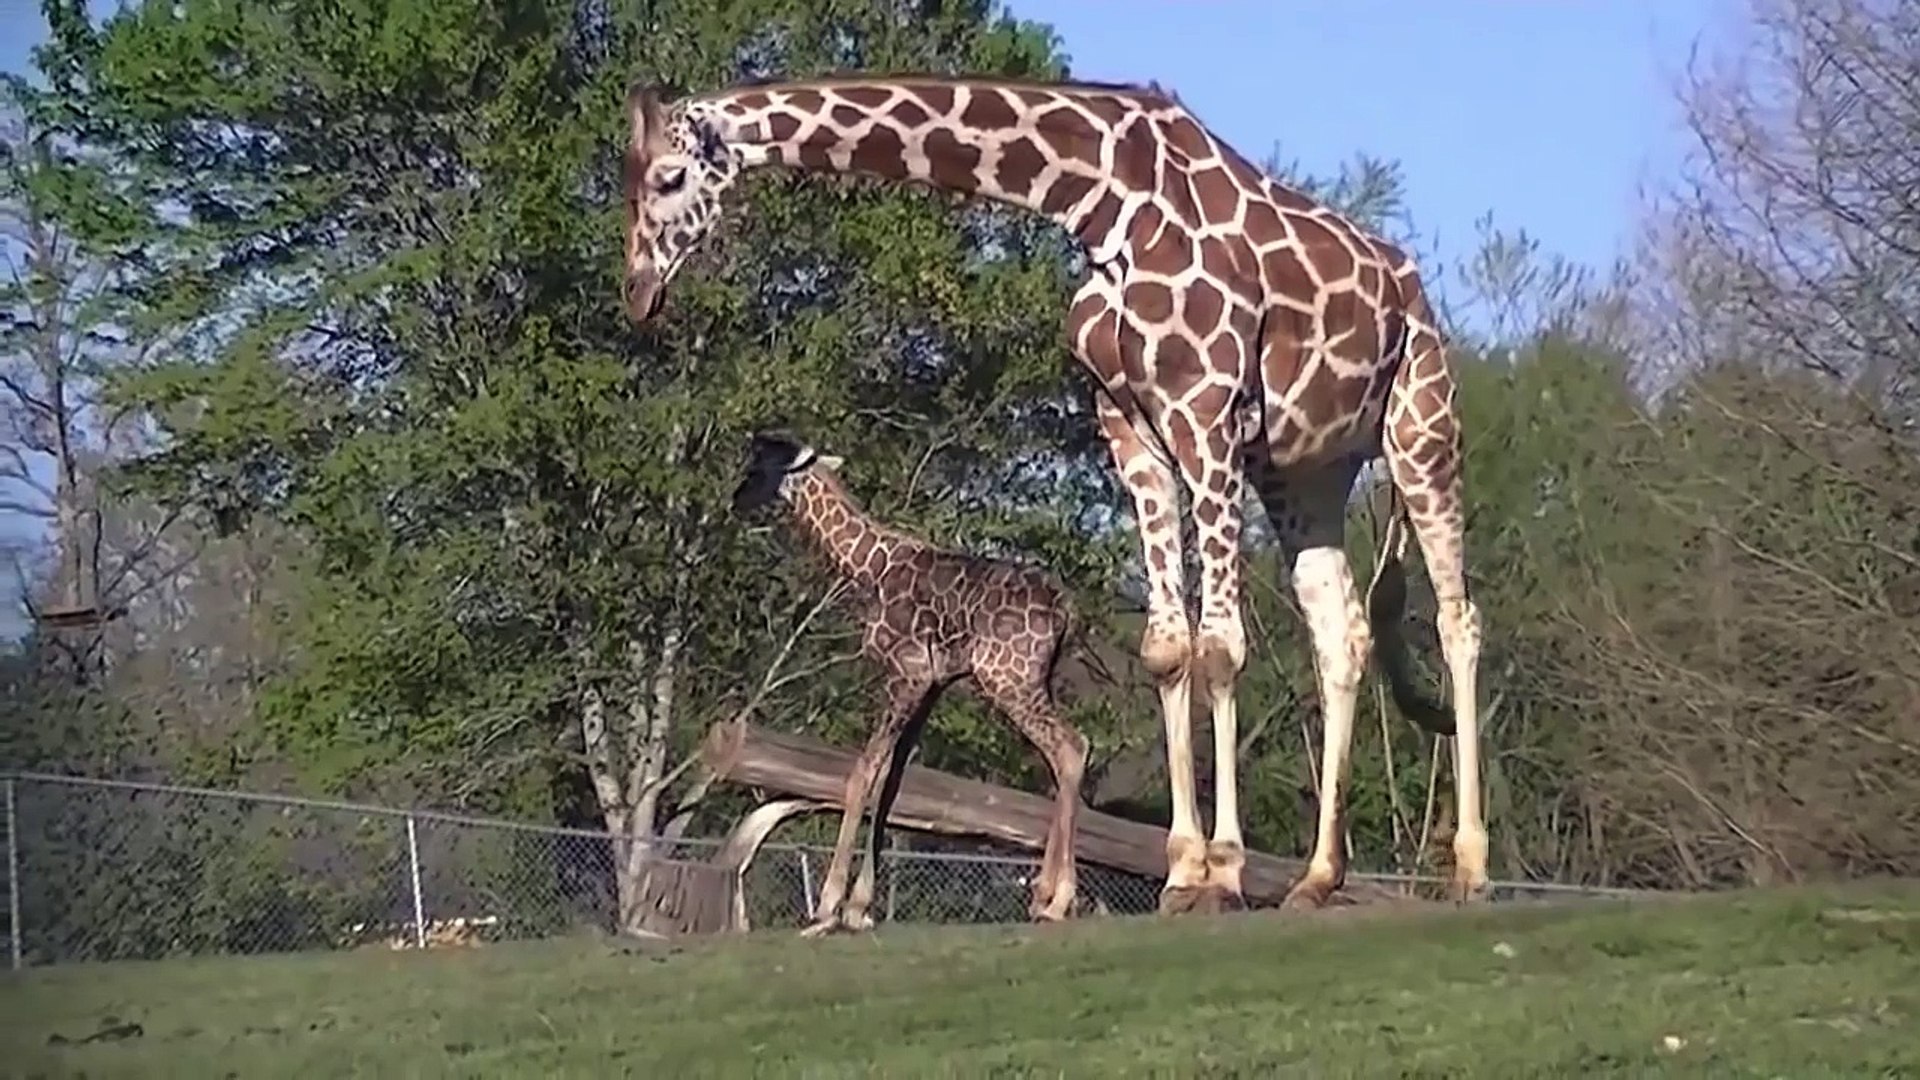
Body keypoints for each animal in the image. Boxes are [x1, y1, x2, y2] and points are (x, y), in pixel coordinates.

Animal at [732, 431, 1090, 936]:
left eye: (759, 465)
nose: (735, 501)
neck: (867, 570)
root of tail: (1066, 610)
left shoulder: (907, 673)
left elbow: (863, 772)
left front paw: (827, 908)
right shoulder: (930, 685)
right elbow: (892, 783)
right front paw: (860, 908)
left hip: (1009, 679)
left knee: (1071, 748)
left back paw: (1057, 901)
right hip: (1035, 680)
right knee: (1062, 756)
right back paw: (1044, 897)